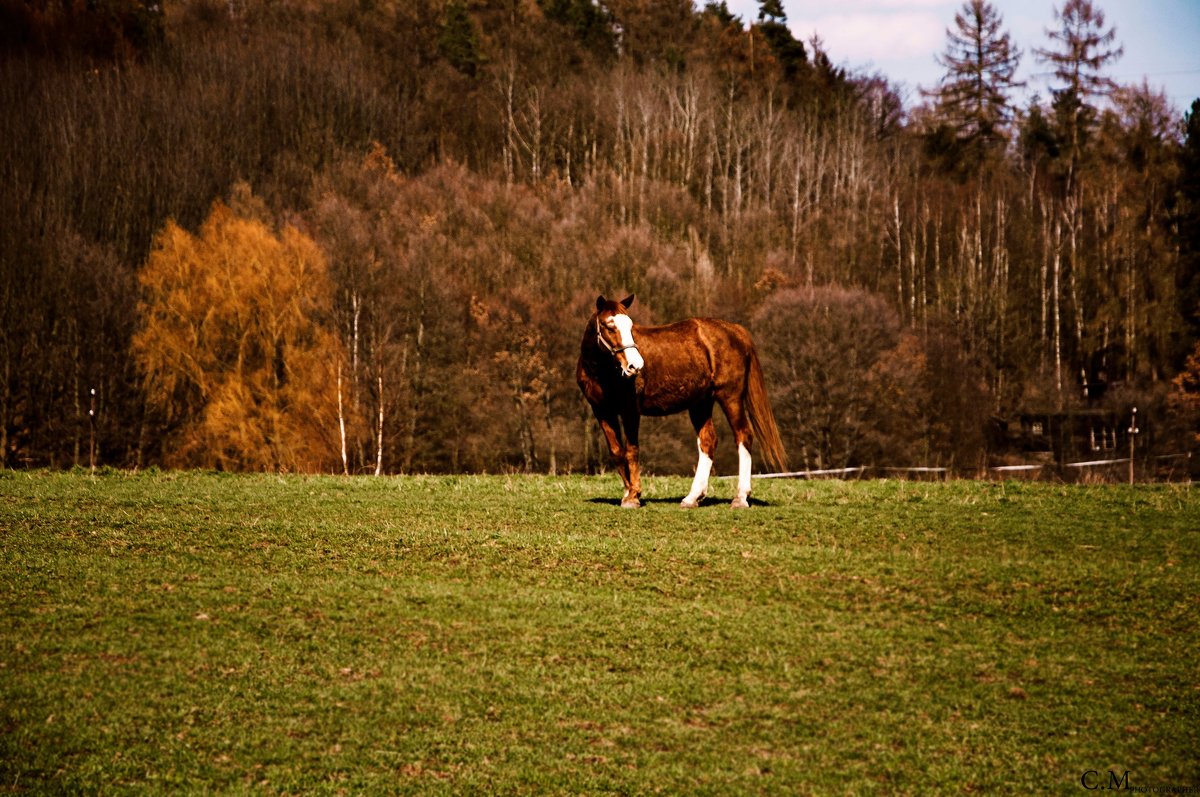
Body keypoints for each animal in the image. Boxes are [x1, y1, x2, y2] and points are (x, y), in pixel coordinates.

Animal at [578, 294, 787, 511]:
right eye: (609, 326)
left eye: (629, 325)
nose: (635, 365)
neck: (601, 372)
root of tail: (736, 330)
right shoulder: (602, 411)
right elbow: (617, 451)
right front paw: (629, 493)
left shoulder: (630, 411)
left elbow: (631, 450)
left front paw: (633, 496)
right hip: (700, 403)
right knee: (708, 442)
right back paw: (692, 497)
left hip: (731, 397)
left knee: (743, 436)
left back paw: (740, 497)